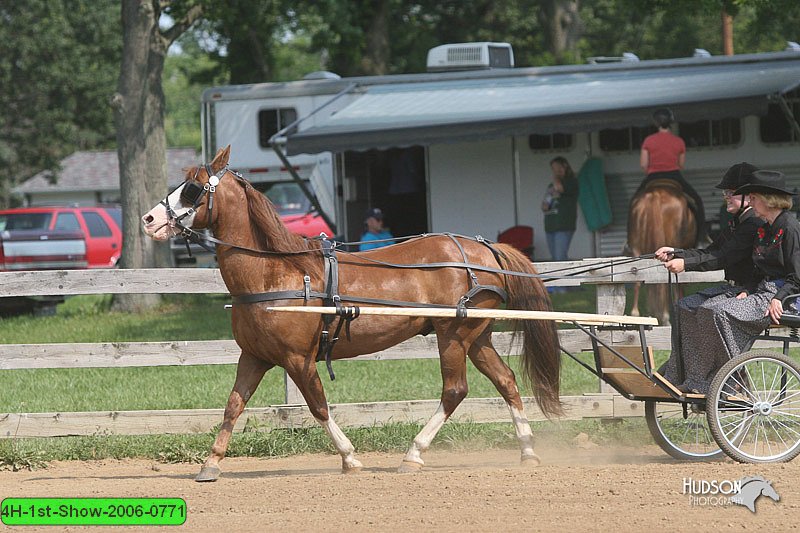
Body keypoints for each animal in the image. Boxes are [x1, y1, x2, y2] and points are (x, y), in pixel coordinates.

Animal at [141, 147, 560, 482]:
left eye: (192, 188)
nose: (149, 220)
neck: (276, 272)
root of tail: (484, 249)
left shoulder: (298, 359)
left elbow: (318, 406)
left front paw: (349, 457)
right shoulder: (254, 357)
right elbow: (233, 406)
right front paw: (210, 464)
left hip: (453, 336)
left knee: (455, 390)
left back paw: (414, 453)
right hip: (477, 336)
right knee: (506, 381)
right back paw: (528, 451)